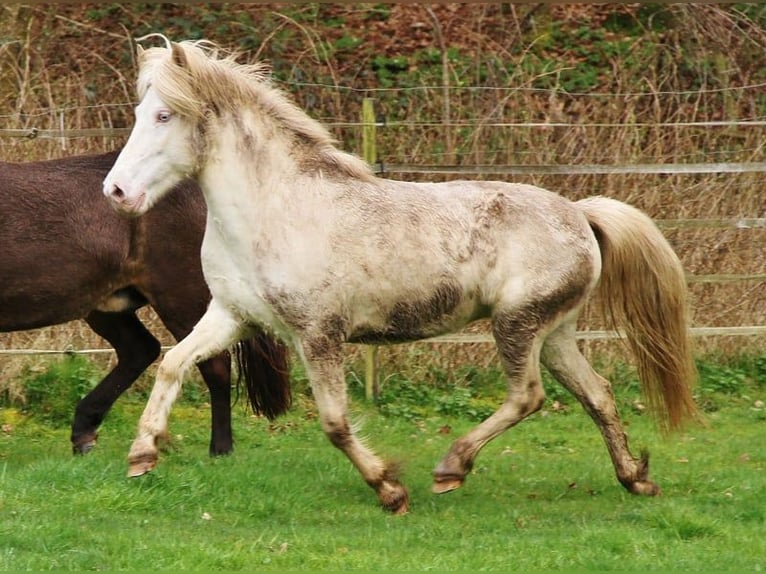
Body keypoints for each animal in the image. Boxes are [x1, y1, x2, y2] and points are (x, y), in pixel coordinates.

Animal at [0, 150, 291, 455]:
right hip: (108, 305)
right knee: (140, 350)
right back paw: (84, 431)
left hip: (180, 295)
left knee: (214, 363)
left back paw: (220, 450)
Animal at [102, 38, 698, 514]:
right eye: (140, 110)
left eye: (164, 116)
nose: (116, 192)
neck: (276, 209)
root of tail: (579, 213)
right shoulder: (233, 316)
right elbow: (173, 365)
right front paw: (141, 455)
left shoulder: (318, 334)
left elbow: (335, 422)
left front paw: (389, 490)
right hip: (555, 332)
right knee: (597, 394)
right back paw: (636, 479)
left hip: (517, 324)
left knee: (528, 396)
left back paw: (451, 468)